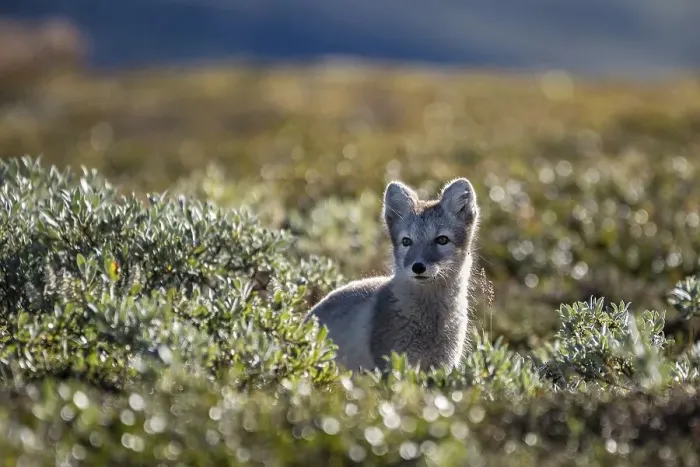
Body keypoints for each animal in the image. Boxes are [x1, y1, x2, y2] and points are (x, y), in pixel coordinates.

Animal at [303, 177, 480, 373]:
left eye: (442, 240)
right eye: (406, 241)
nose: (418, 267)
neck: (430, 321)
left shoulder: (442, 366)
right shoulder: (393, 364)